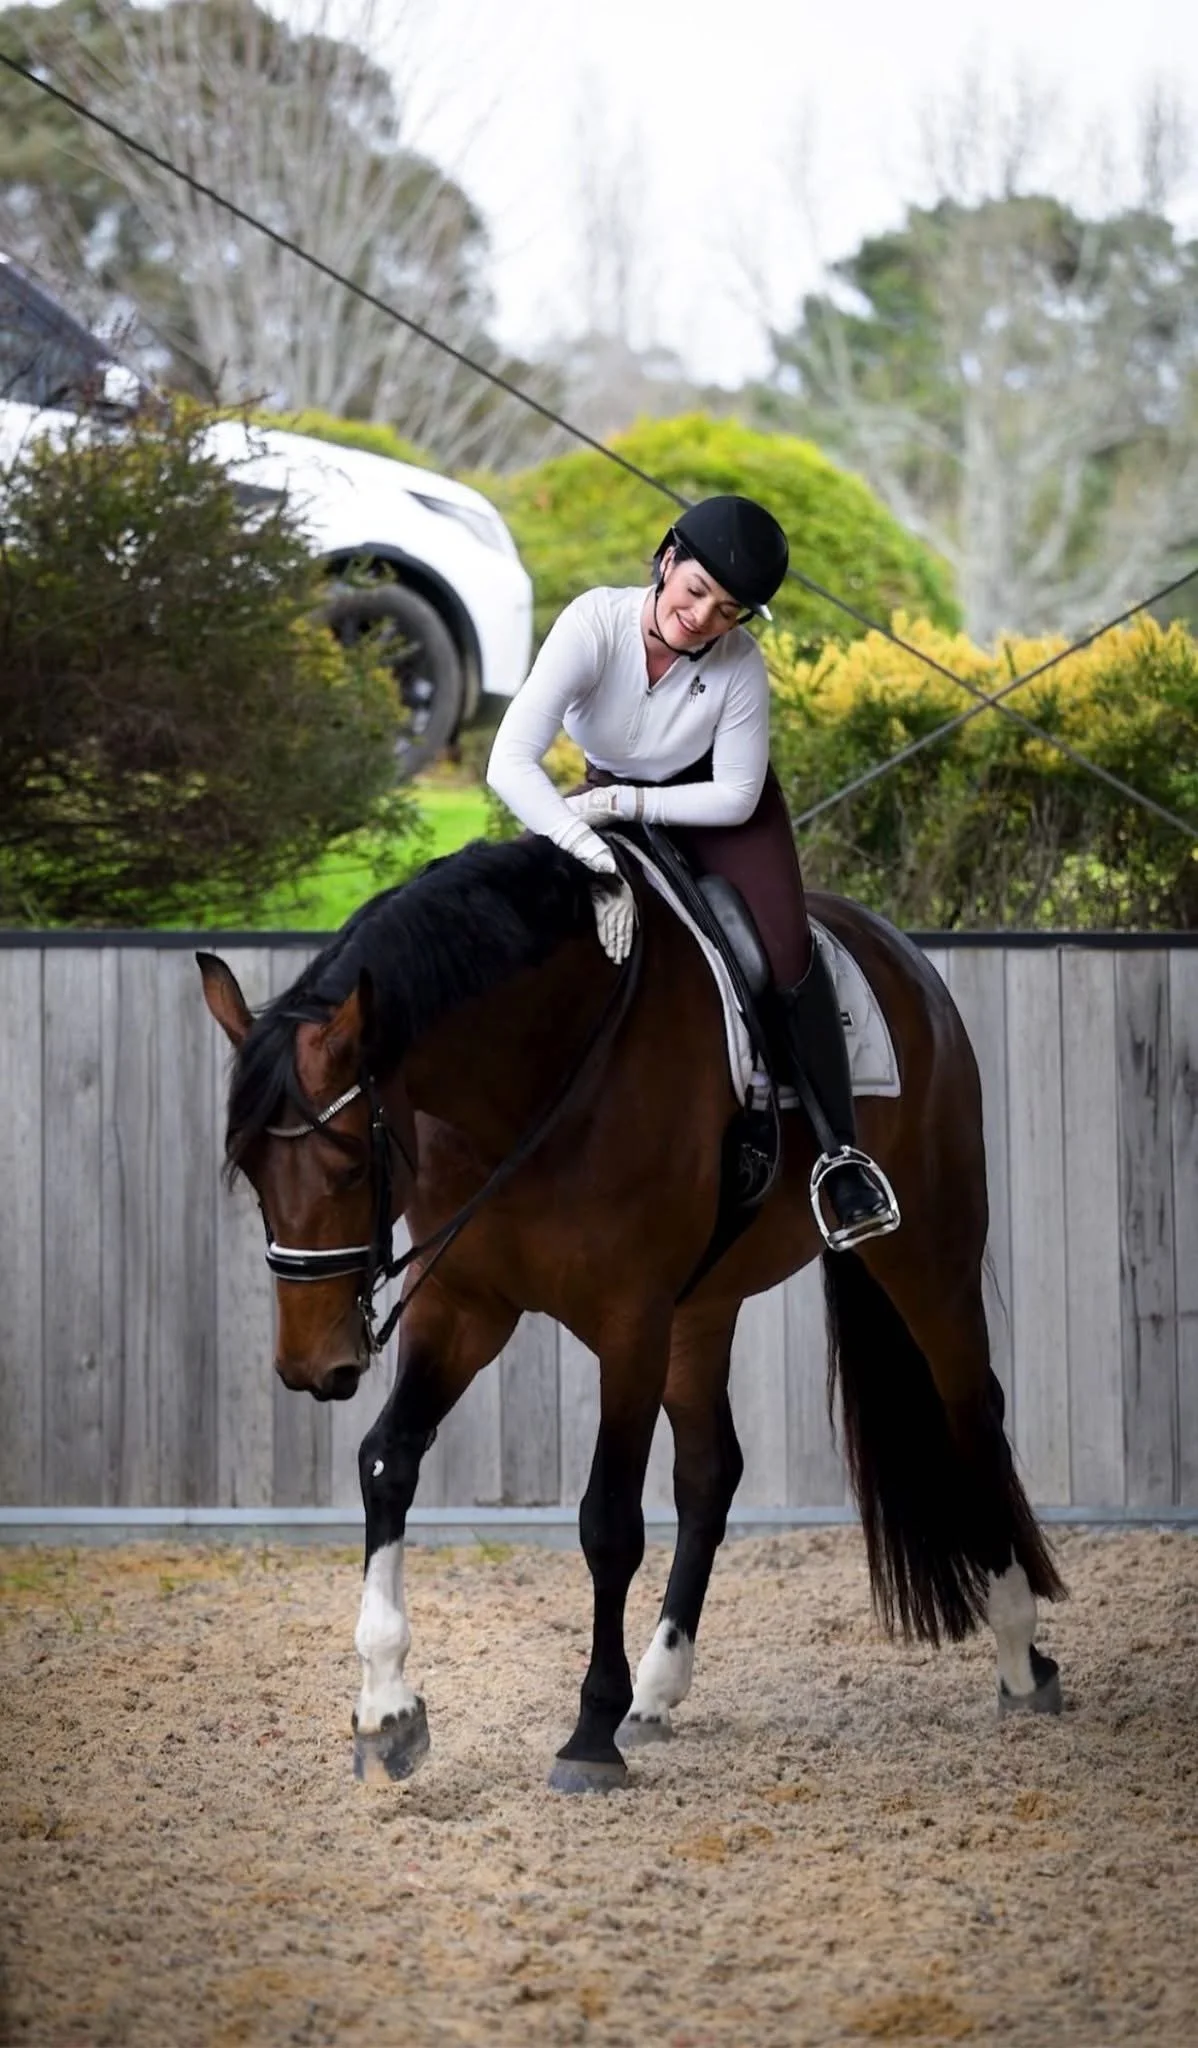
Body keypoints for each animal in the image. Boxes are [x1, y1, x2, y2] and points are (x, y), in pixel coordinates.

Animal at [198, 834, 1065, 1792]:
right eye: (250, 1172)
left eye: (350, 1164)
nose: (312, 1365)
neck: (532, 1072)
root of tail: (902, 955)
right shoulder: (465, 1306)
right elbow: (388, 1462)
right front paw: (386, 1706)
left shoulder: (628, 1322)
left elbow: (608, 1521)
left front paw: (588, 1733)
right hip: (702, 1310)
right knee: (712, 1472)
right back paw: (658, 1687)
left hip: (926, 1253)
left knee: (969, 1412)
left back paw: (1020, 1654)